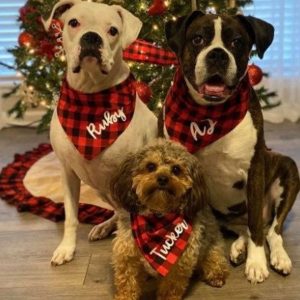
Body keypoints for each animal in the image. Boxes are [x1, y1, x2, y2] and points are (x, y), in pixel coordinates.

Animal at [44, 0, 159, 268]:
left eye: (113, 30)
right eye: (74, 22)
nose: (91, 37)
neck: (90, 95)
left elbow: (131, 220)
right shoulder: (67, 172)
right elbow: (71, 216)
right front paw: (66, 248)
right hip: (99, 190)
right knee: (117, 213)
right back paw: (104, 227)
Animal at [111, 139, 229, 298]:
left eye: (176, 169)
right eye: (150, 166)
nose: (162, 178)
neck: (158, 216)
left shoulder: (181, 261)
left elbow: (171, 287)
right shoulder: (127, 254)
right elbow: (127, 282)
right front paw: (125, 297)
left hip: (212, 245)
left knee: (215, 258)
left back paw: (217, 274)